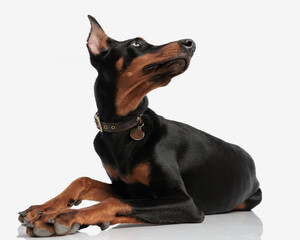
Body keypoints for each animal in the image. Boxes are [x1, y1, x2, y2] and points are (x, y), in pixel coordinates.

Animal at [18, 15, 262, 237]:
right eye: (136, 44)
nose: (190, 43)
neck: (121, 128)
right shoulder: (124, 188)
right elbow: (84, 181)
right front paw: (40, 209)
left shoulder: (187, 203)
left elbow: (111, 203)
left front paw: (62, 216)